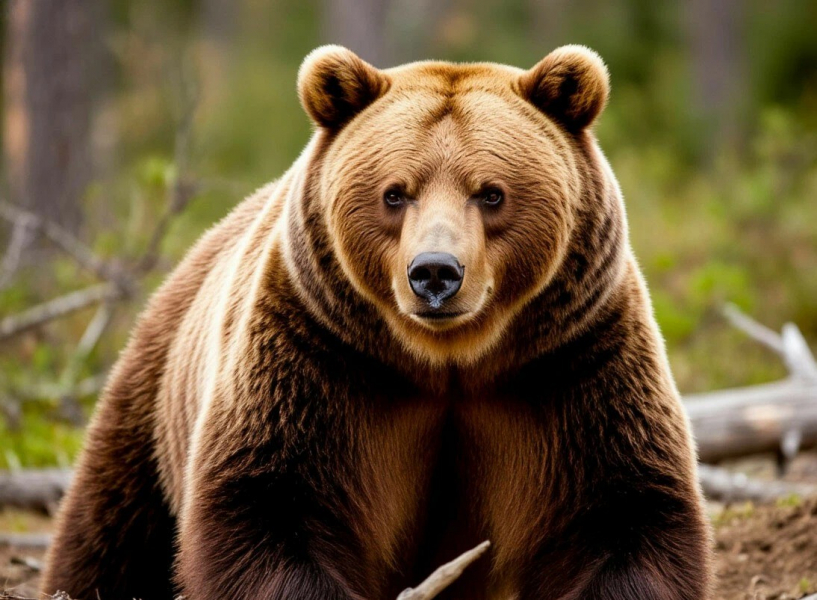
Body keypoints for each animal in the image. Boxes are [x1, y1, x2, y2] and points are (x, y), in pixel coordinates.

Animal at [42, 45, 713, 600]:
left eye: (490, 192)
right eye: (396, 192)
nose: (436, 273)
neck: (450, 361)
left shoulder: (574, 366)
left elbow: (624, 514)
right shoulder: (317, 360)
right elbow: (269, 504)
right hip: (155, 401)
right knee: (110, 533)